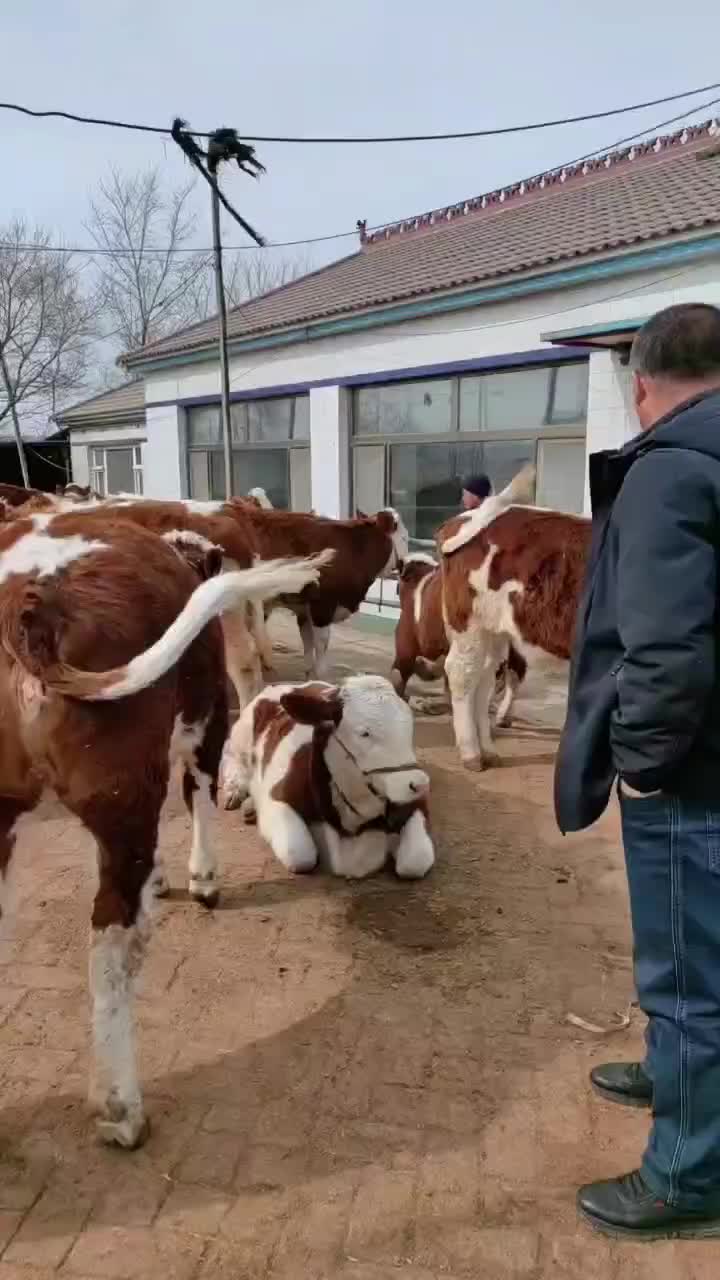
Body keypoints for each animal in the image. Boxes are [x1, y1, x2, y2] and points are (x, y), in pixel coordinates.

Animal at [0, 509, 322, 1152]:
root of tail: (27, 599)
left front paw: (164, 878)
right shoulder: (207, 720)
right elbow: (198, 793)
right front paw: (202, 879)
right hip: (125, 797)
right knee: (109, 947)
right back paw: (120, 1107)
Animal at [220, 675, 430, 875]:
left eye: (409, 727)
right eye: (364, 733)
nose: (419, 784)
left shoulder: (414, 804)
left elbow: (416, 860)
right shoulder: (277, 797)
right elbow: (299, 854)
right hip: (241, 734)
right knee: (231, 756)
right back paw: (235, 792)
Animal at [438, 494, 589, 762]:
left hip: (495, 631)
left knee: (485, 678)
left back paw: (487, 749)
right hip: (471, 624)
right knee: (462, 674)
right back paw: (471, 752)